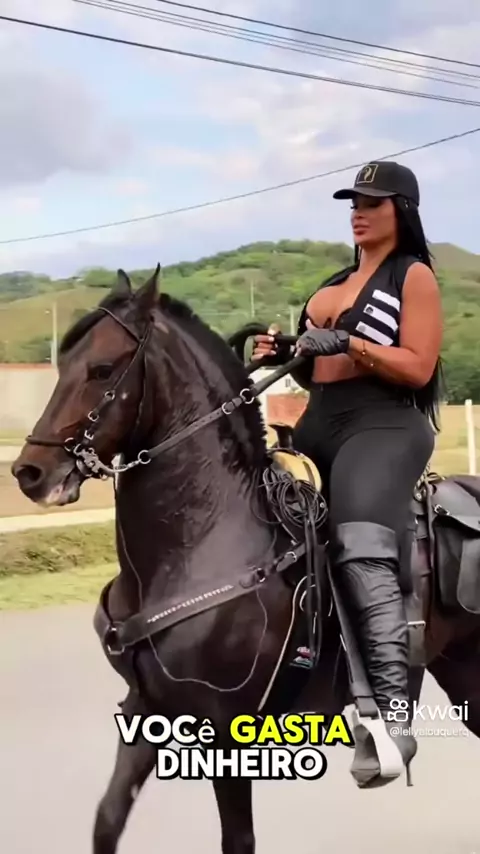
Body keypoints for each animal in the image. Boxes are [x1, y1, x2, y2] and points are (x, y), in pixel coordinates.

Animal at [10, 265, 480, 854]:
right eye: (63, 364)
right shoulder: (145, 708)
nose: (30, 472)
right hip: (459, 667)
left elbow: (237, 839)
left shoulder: (225, 731)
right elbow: (107, 820)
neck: (201, 542)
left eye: (101, 369)